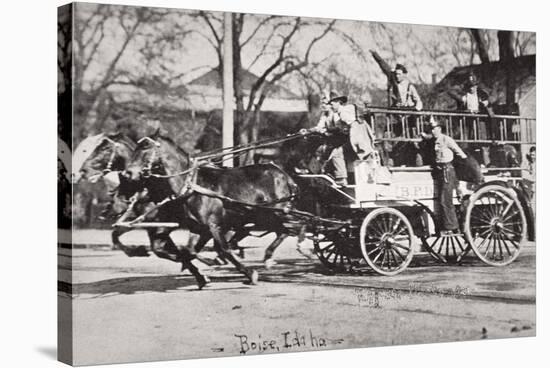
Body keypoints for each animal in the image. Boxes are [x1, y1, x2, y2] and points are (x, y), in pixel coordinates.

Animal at [124, 132, 302, 288]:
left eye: (145, 147)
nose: (127, 173)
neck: (193, 185)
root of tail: (283, 174)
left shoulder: (213, 225)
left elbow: (223, 249)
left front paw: (249, 274)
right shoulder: (198, 227)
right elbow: (189, 250)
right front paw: (200, 274)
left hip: (278, 212)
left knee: (293, 228)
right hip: (264, 215)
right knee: (284, 230)